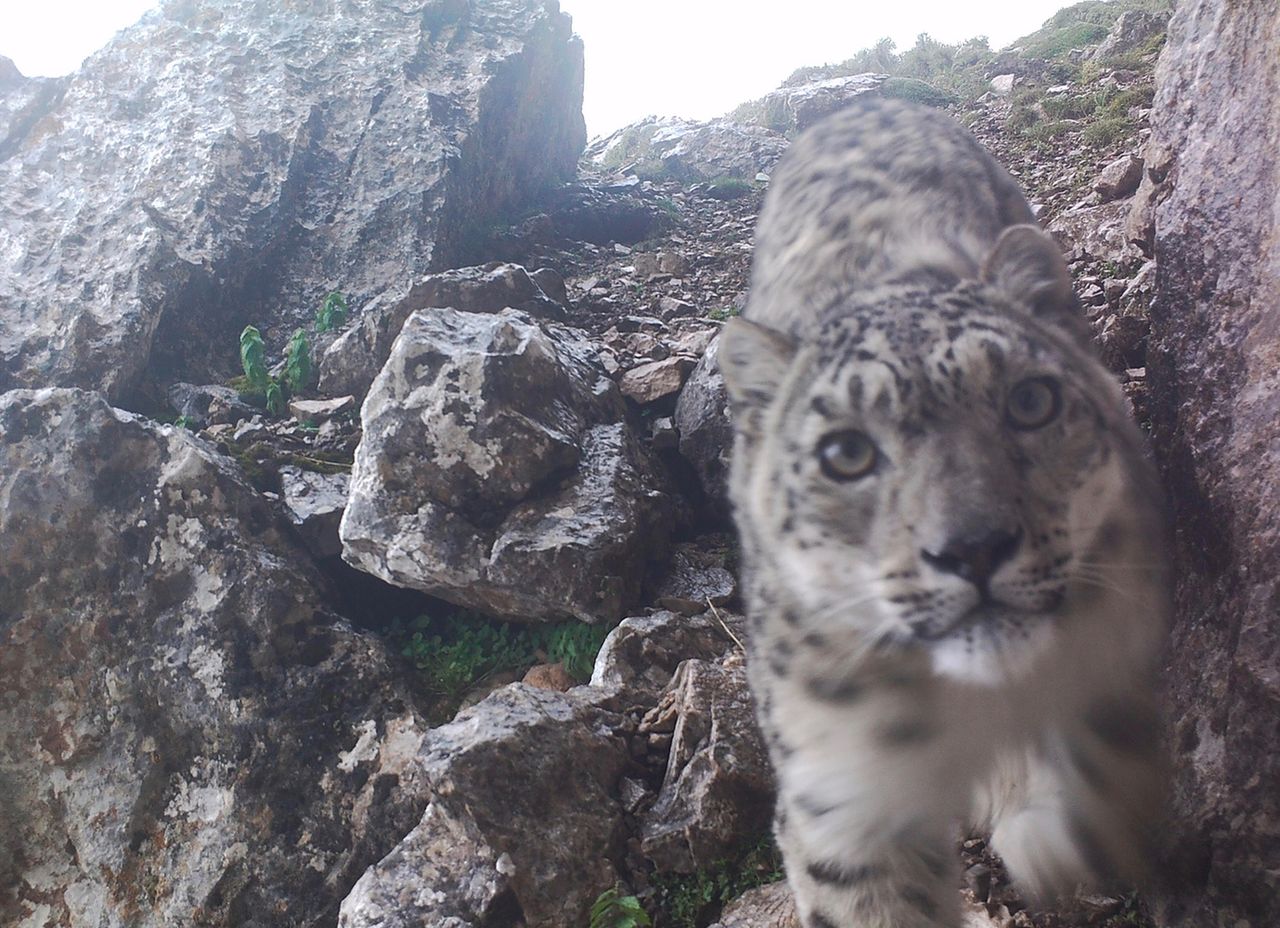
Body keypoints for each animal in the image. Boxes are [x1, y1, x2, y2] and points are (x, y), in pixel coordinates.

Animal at [721, 97, 1172, 921]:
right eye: (845, 452)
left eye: (1030, 401)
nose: (974, 548)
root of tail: (861, 100)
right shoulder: (844, 810)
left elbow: (1107, 734)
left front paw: (1063, 833)